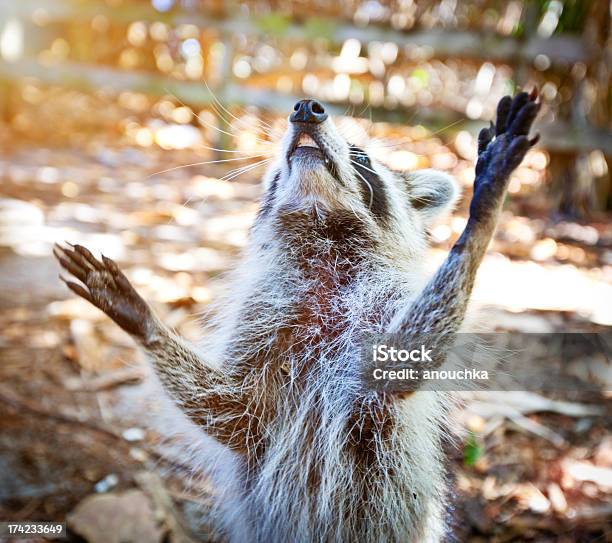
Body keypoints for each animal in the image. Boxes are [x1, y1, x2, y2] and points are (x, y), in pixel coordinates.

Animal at [55, 91, 536, 540]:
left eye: (362, 157)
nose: (306, 108)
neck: (323, 235)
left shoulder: (381, 302)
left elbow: (401, 363)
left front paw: (483, 215)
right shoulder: (266, 311)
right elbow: (236, 413)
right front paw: (145, 324)